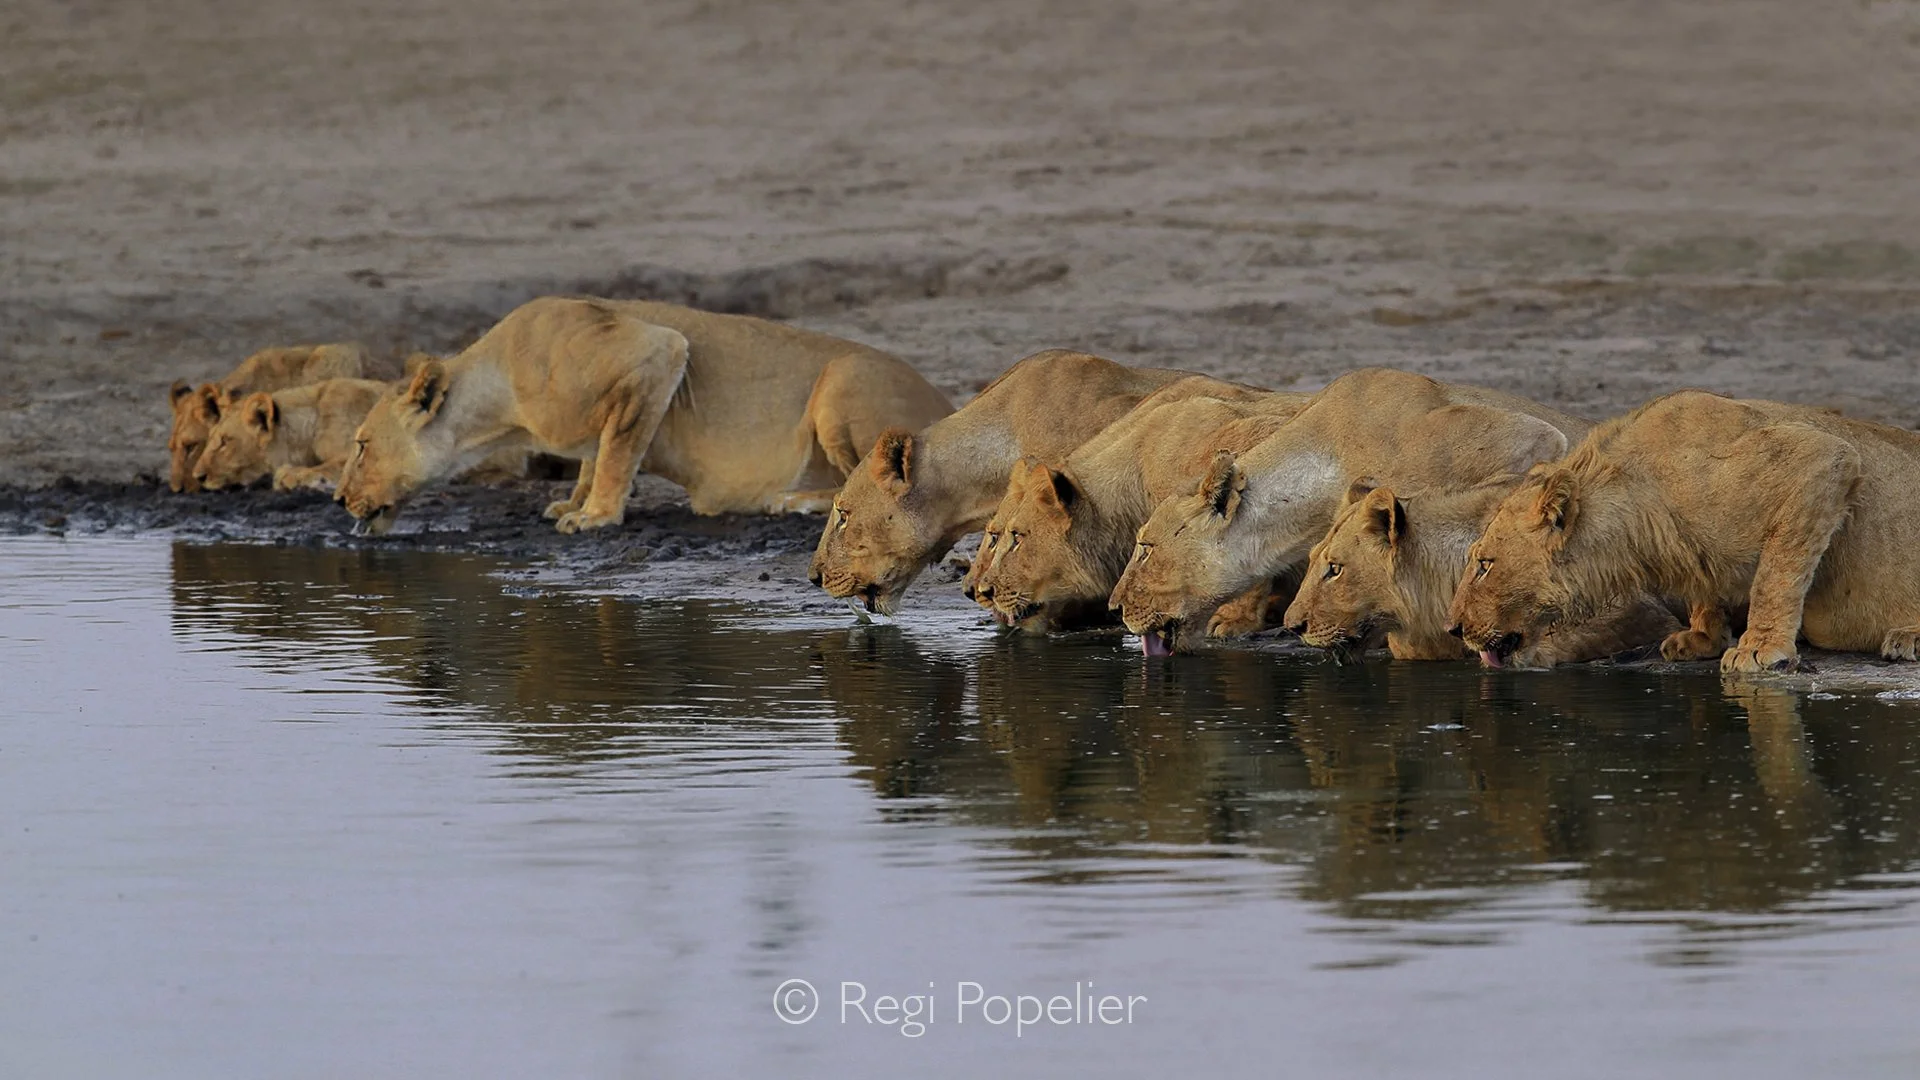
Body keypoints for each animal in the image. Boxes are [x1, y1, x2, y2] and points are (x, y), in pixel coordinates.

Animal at [335, 296, 953, 535]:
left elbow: (617, 454)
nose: (338, 499)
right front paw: (572, 501)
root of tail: (949, 404)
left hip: (841, 380)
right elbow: (595, 456)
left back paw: (789, 500)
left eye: (361, 445)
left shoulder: (654, 355)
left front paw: (594, 517)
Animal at [1444, 389, 1920, 673]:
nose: (1452, 628)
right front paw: (1703, 638)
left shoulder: (1820, 458)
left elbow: (1776, 576)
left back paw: (1908, 637)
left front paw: (1759, 647)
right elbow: (1707, 589)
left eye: (1484, 565)